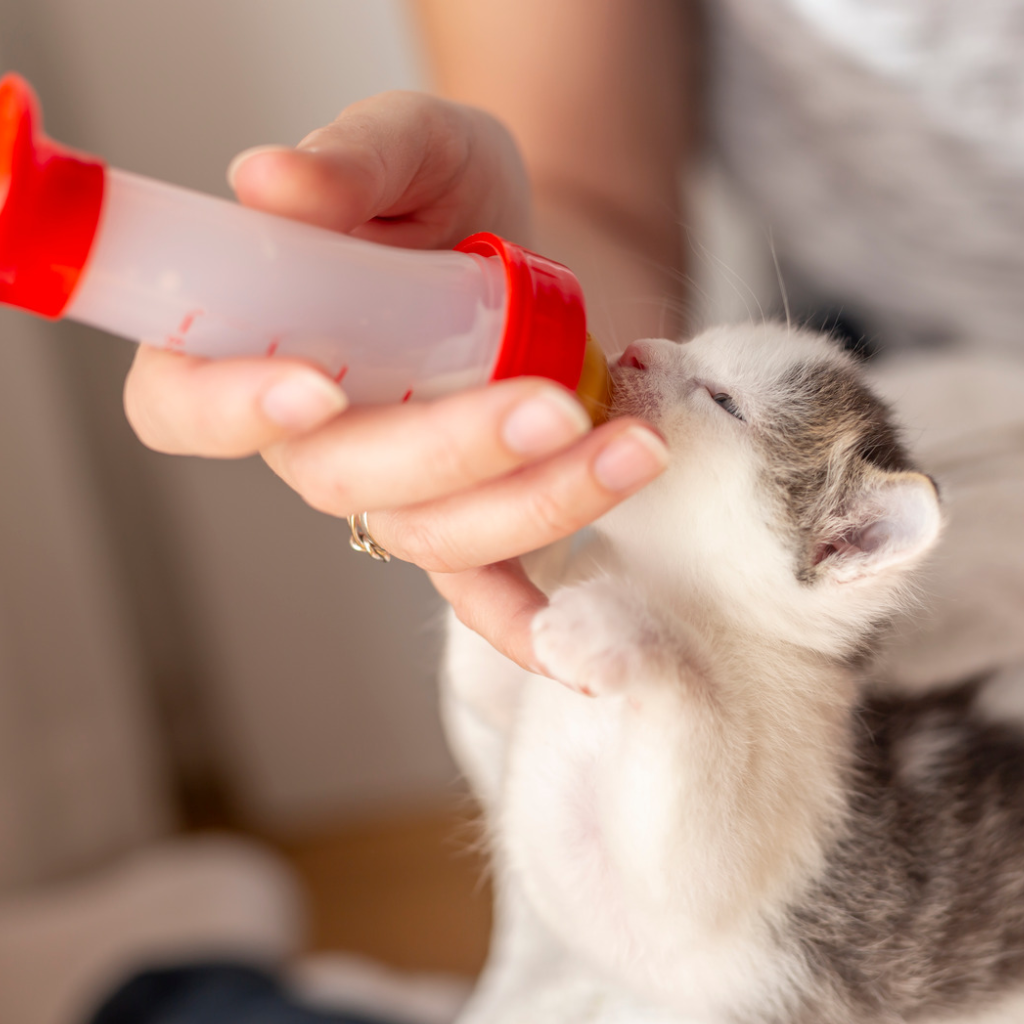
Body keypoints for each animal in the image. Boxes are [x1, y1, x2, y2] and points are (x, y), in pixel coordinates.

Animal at [444, 325, 1024, 1024]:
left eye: (724, 402)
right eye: (694, 341)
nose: (635, 349)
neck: (663, 585)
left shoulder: (735, 858)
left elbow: (692, 819)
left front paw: (622, 626)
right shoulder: (515, 678)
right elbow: (479, 676)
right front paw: (525, 445)